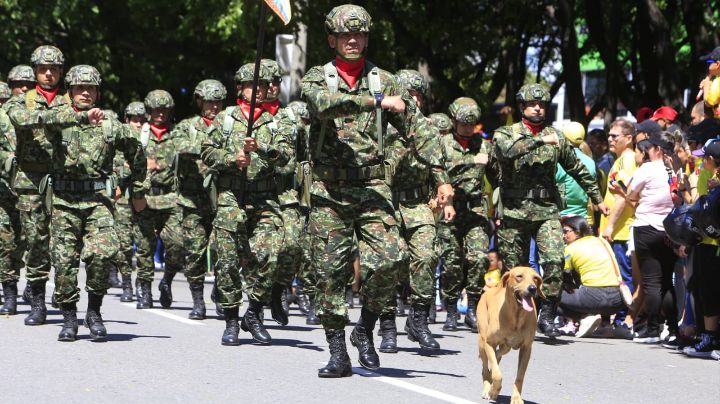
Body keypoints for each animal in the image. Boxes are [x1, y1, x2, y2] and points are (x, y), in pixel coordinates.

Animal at [480, 266, 544, 402]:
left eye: (535, 278)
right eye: (519, 276)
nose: (532, 288)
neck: (516, 317)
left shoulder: (526, 349)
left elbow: (520, 376)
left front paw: (516, 397)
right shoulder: (489, 342)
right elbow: (497, 374)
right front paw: (493, 391)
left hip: (506, 347)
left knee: (497, 355)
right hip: (482, 343)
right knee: (486, 367)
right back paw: (487, 388)